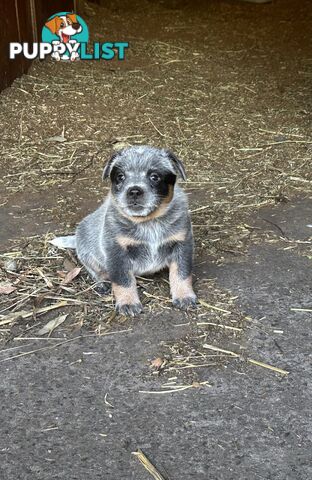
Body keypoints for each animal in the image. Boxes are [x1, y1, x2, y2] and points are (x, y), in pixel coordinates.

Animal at [51, 144, 197, 316]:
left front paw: (184, 296)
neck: (148, 222)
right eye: (120, 176)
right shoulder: (116, 250)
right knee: (93, 268)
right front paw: (128, 303)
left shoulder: (182, 243)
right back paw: (103, 282)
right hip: (86, 249)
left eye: (154, 176)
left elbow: (182, 273)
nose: (134, 191)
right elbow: (123, 280)